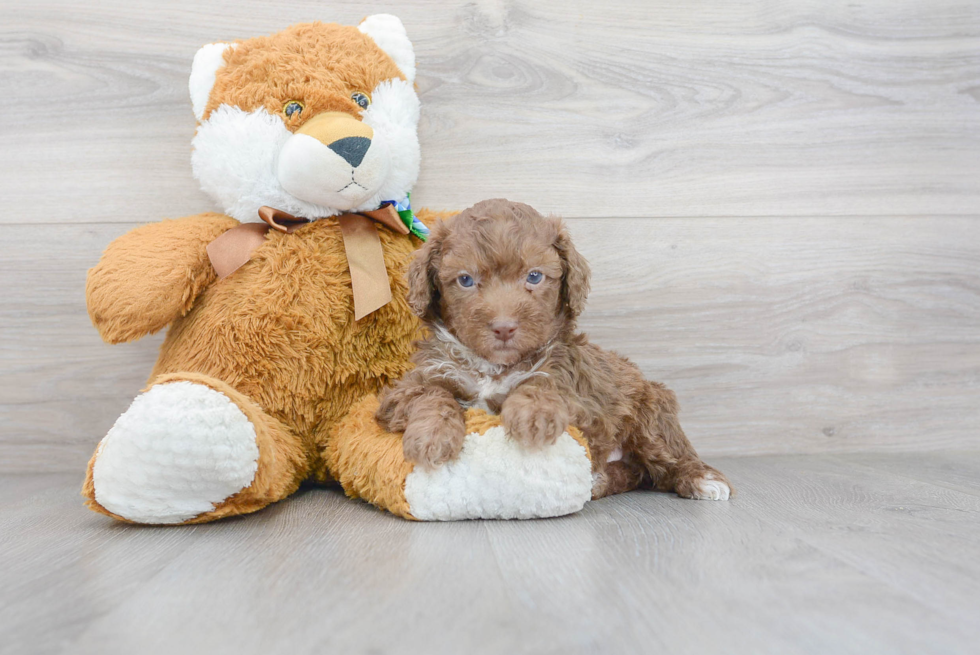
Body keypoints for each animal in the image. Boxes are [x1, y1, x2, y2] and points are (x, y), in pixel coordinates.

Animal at [378, 200, 732, 502]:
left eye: (534, 276)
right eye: (466, 280)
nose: (504, 327)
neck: (494, 367)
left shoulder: (574, 380)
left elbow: (543, 382)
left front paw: (534, 416)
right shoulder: (410, 386)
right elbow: (432, 395)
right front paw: (432, 436)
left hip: (651, 410)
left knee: (669, 457)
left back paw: (703, 479)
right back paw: (600, 481)